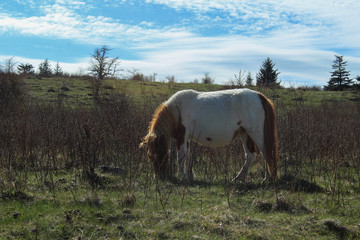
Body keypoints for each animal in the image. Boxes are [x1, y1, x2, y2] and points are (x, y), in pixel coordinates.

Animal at [140, 88, 278, 182]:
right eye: (149, 156)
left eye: (154, 156)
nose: (159, 178)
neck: (177, 110)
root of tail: (260, 97)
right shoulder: (187, 139)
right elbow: (188, 157)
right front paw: (189, 176)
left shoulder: (182, 137)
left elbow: (181, 157)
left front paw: (182, 176)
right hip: (245, 134)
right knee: (250, 155)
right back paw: (239, 178)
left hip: (257, 134)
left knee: (266, 153)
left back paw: (266, 178)